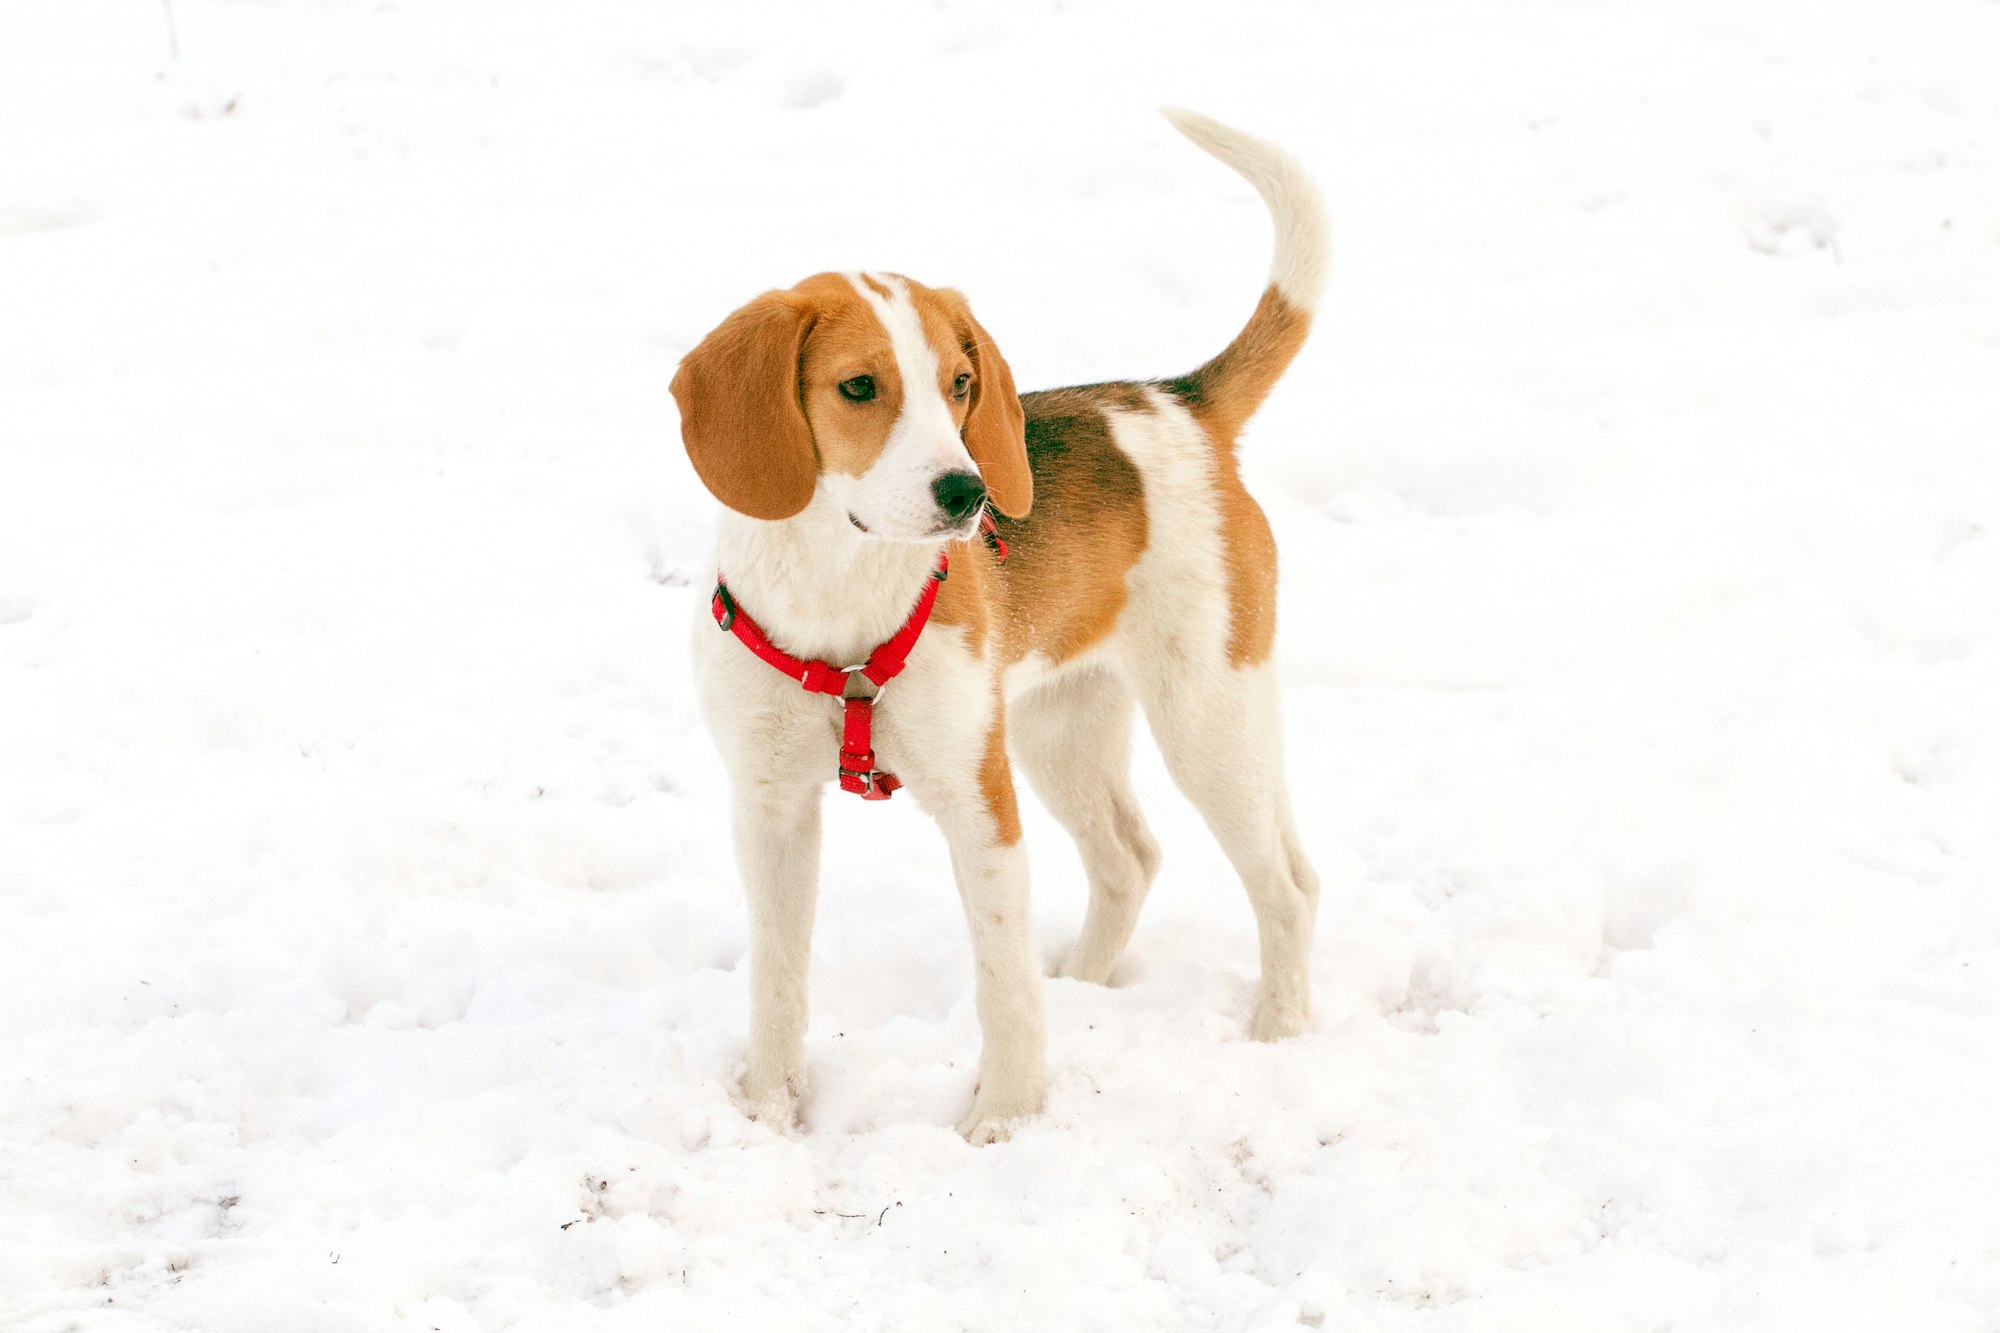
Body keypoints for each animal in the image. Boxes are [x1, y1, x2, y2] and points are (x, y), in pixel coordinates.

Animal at [672, 109, 1328, 1136]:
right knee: (1129, 859)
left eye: (960, 383)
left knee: (1290, 884)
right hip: (1061, 727)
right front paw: (769, 1112)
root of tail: (1178, 401)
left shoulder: (979, 800)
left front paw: (1008, 1118)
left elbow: (1001, 980)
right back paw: (1088, 987)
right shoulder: (769, 806)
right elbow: (777, 978)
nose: (969, 493)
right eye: (859, 387)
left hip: (1210, 719)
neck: (841, 584)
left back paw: (1279, 1032)